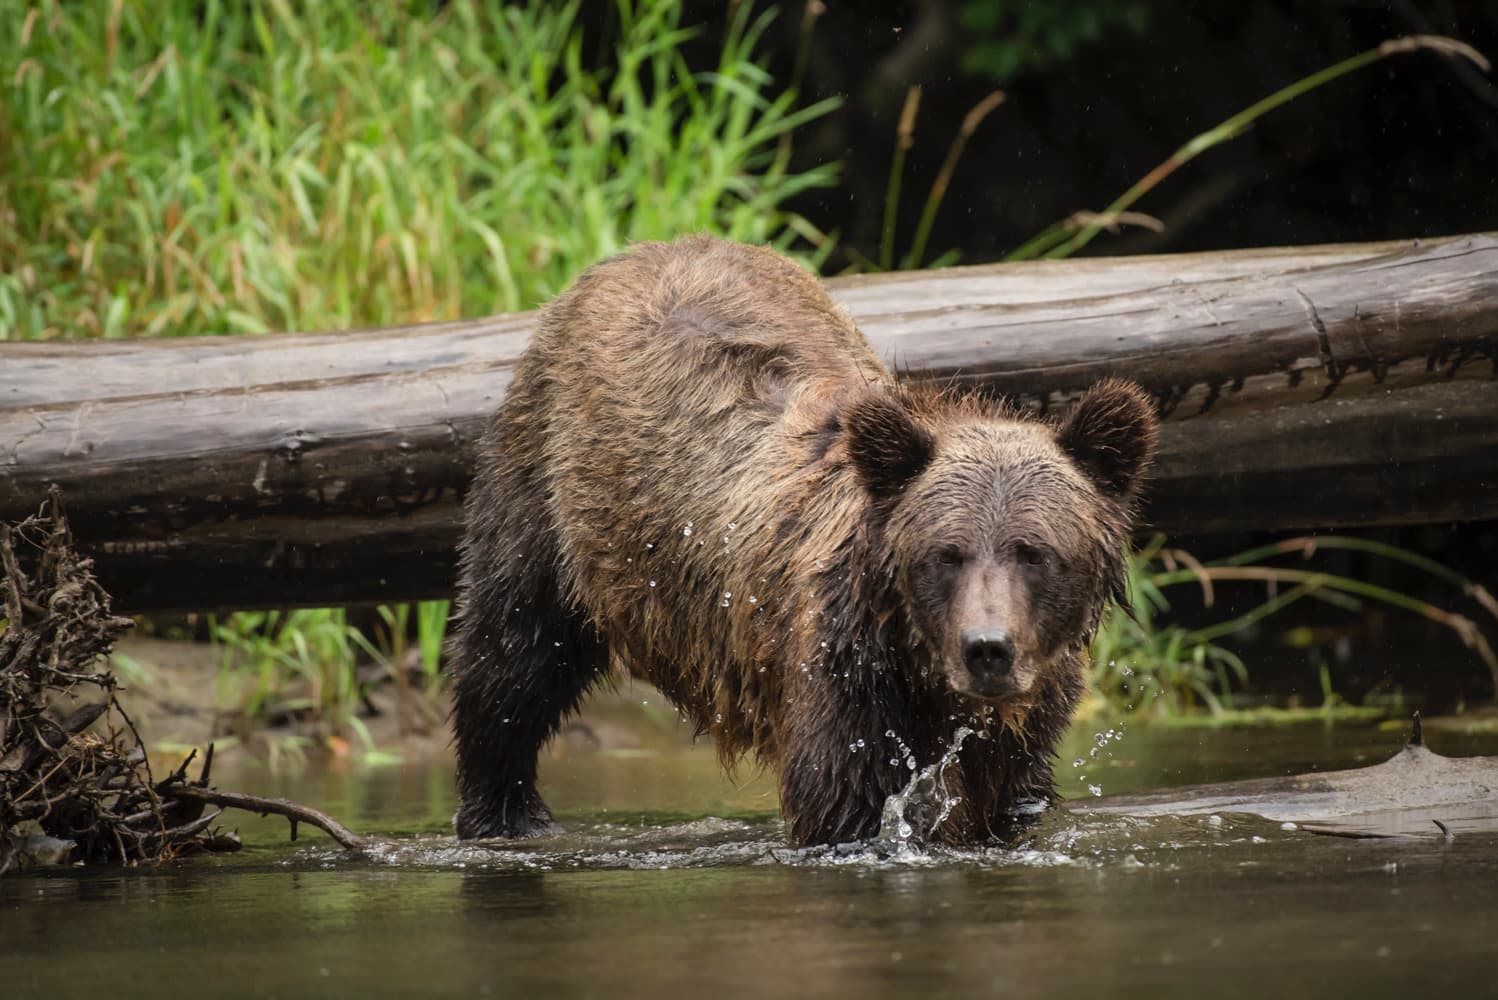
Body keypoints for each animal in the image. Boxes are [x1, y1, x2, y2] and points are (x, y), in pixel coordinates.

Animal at [450, 235, 1157, 847]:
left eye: (1034, 552)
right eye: (945, 554)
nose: (988, 649)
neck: (926, 678)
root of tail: (637, 250)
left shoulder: (1025, 729)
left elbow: (1012, 797)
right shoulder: (848, 686)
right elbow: (844, 807)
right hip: (548, 493)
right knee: (510, 653)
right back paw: (506, 812)